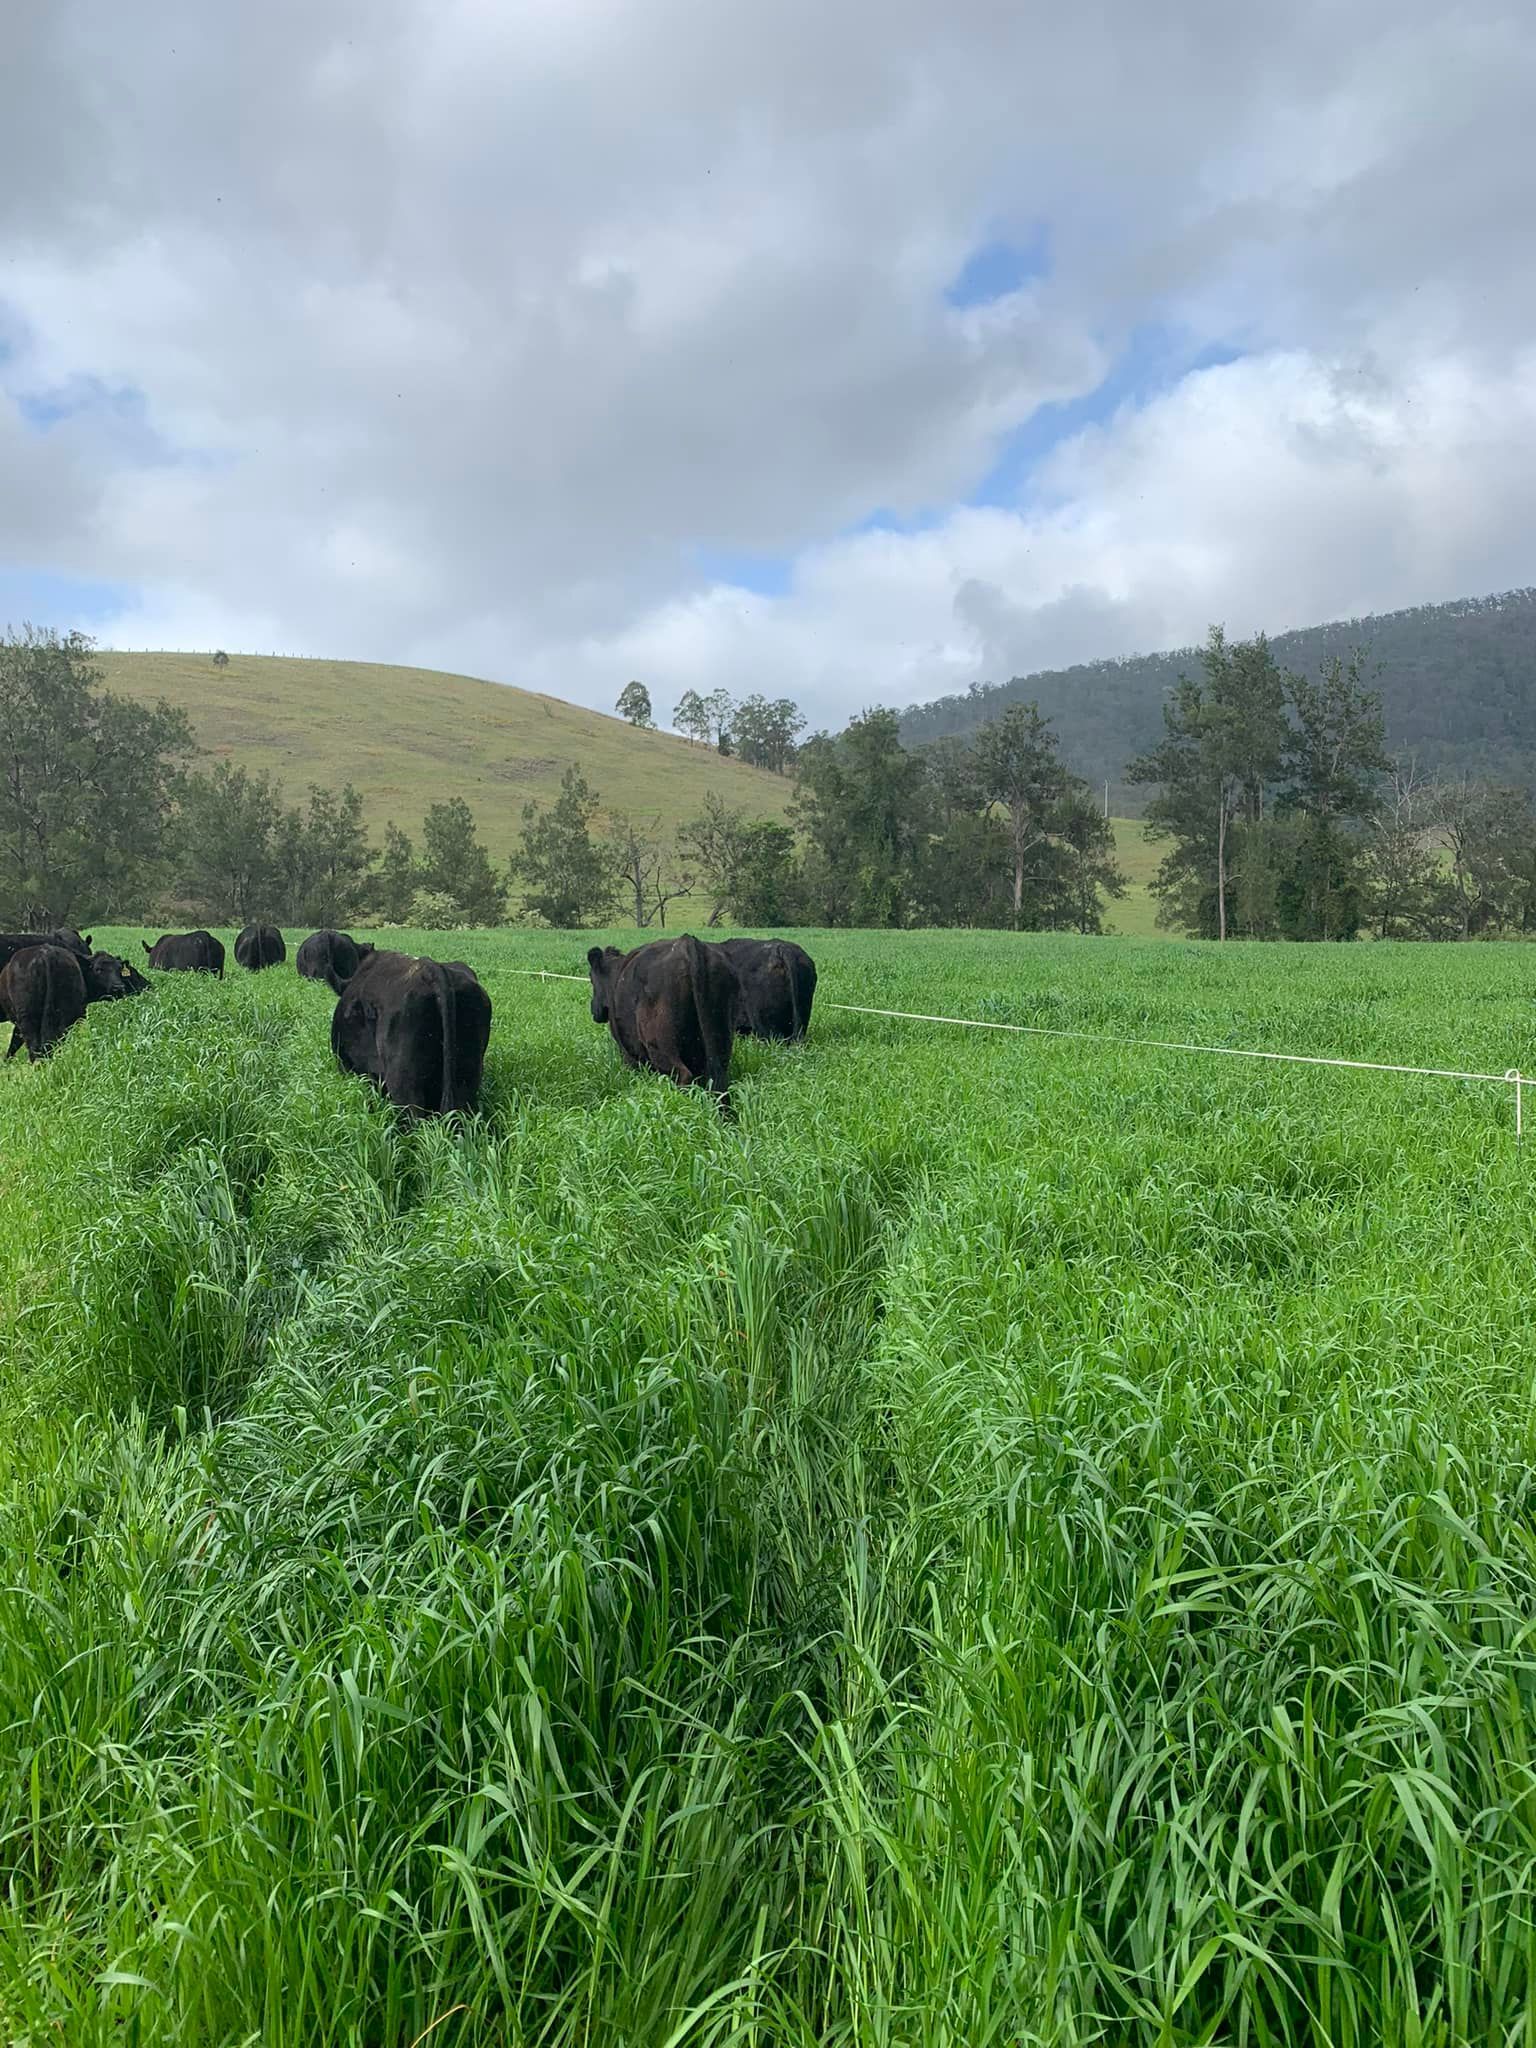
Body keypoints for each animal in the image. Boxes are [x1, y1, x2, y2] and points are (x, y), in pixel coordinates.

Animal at [586, 933, 738, 1115]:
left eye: (591, 979)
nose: (594, 1009)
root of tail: (688, 943)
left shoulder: (628, 1055)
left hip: (660, 1046)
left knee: (682, 1075)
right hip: (720, 1041)